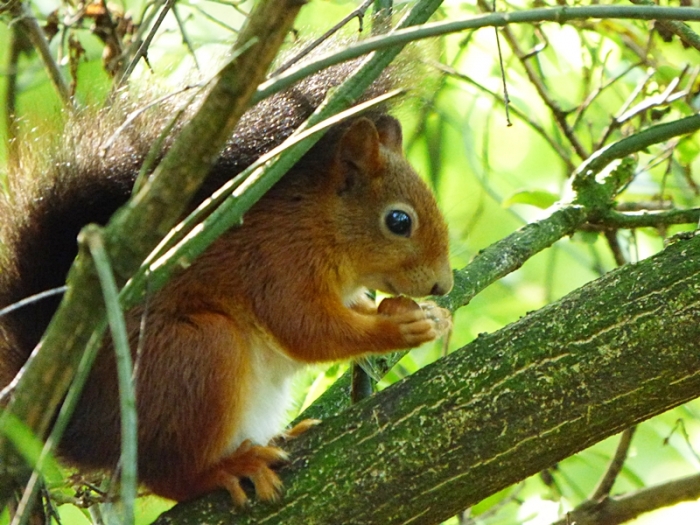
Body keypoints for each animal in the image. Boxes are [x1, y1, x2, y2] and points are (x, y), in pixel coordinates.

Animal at [0, 64, 453, 505]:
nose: (443, 286)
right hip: (196, 355)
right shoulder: (279, 262)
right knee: (171, 477)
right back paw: (227, 468)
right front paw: (398, 328)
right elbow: (306, 329)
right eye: (399, 221)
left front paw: (426, 314)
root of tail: (84, 428)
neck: (320, 221)